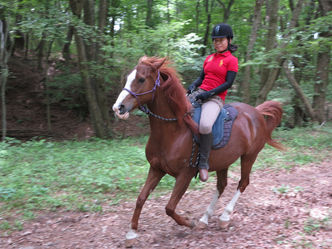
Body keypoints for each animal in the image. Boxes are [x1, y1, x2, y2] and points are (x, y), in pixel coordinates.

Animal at [113, 55, 284, 243]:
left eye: (141, 79)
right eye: (128, 77)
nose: (118, 108)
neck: (174, 130)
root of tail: (257, 112)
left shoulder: (185, 174)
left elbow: (169, 207)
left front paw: (189, 223)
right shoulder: (156, 169)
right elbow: (141, 198)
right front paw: (131, 233)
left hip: (249, 156)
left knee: (243, 183)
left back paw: (224, 217)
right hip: (224, 161)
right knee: (222, 185)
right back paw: (205, 218)